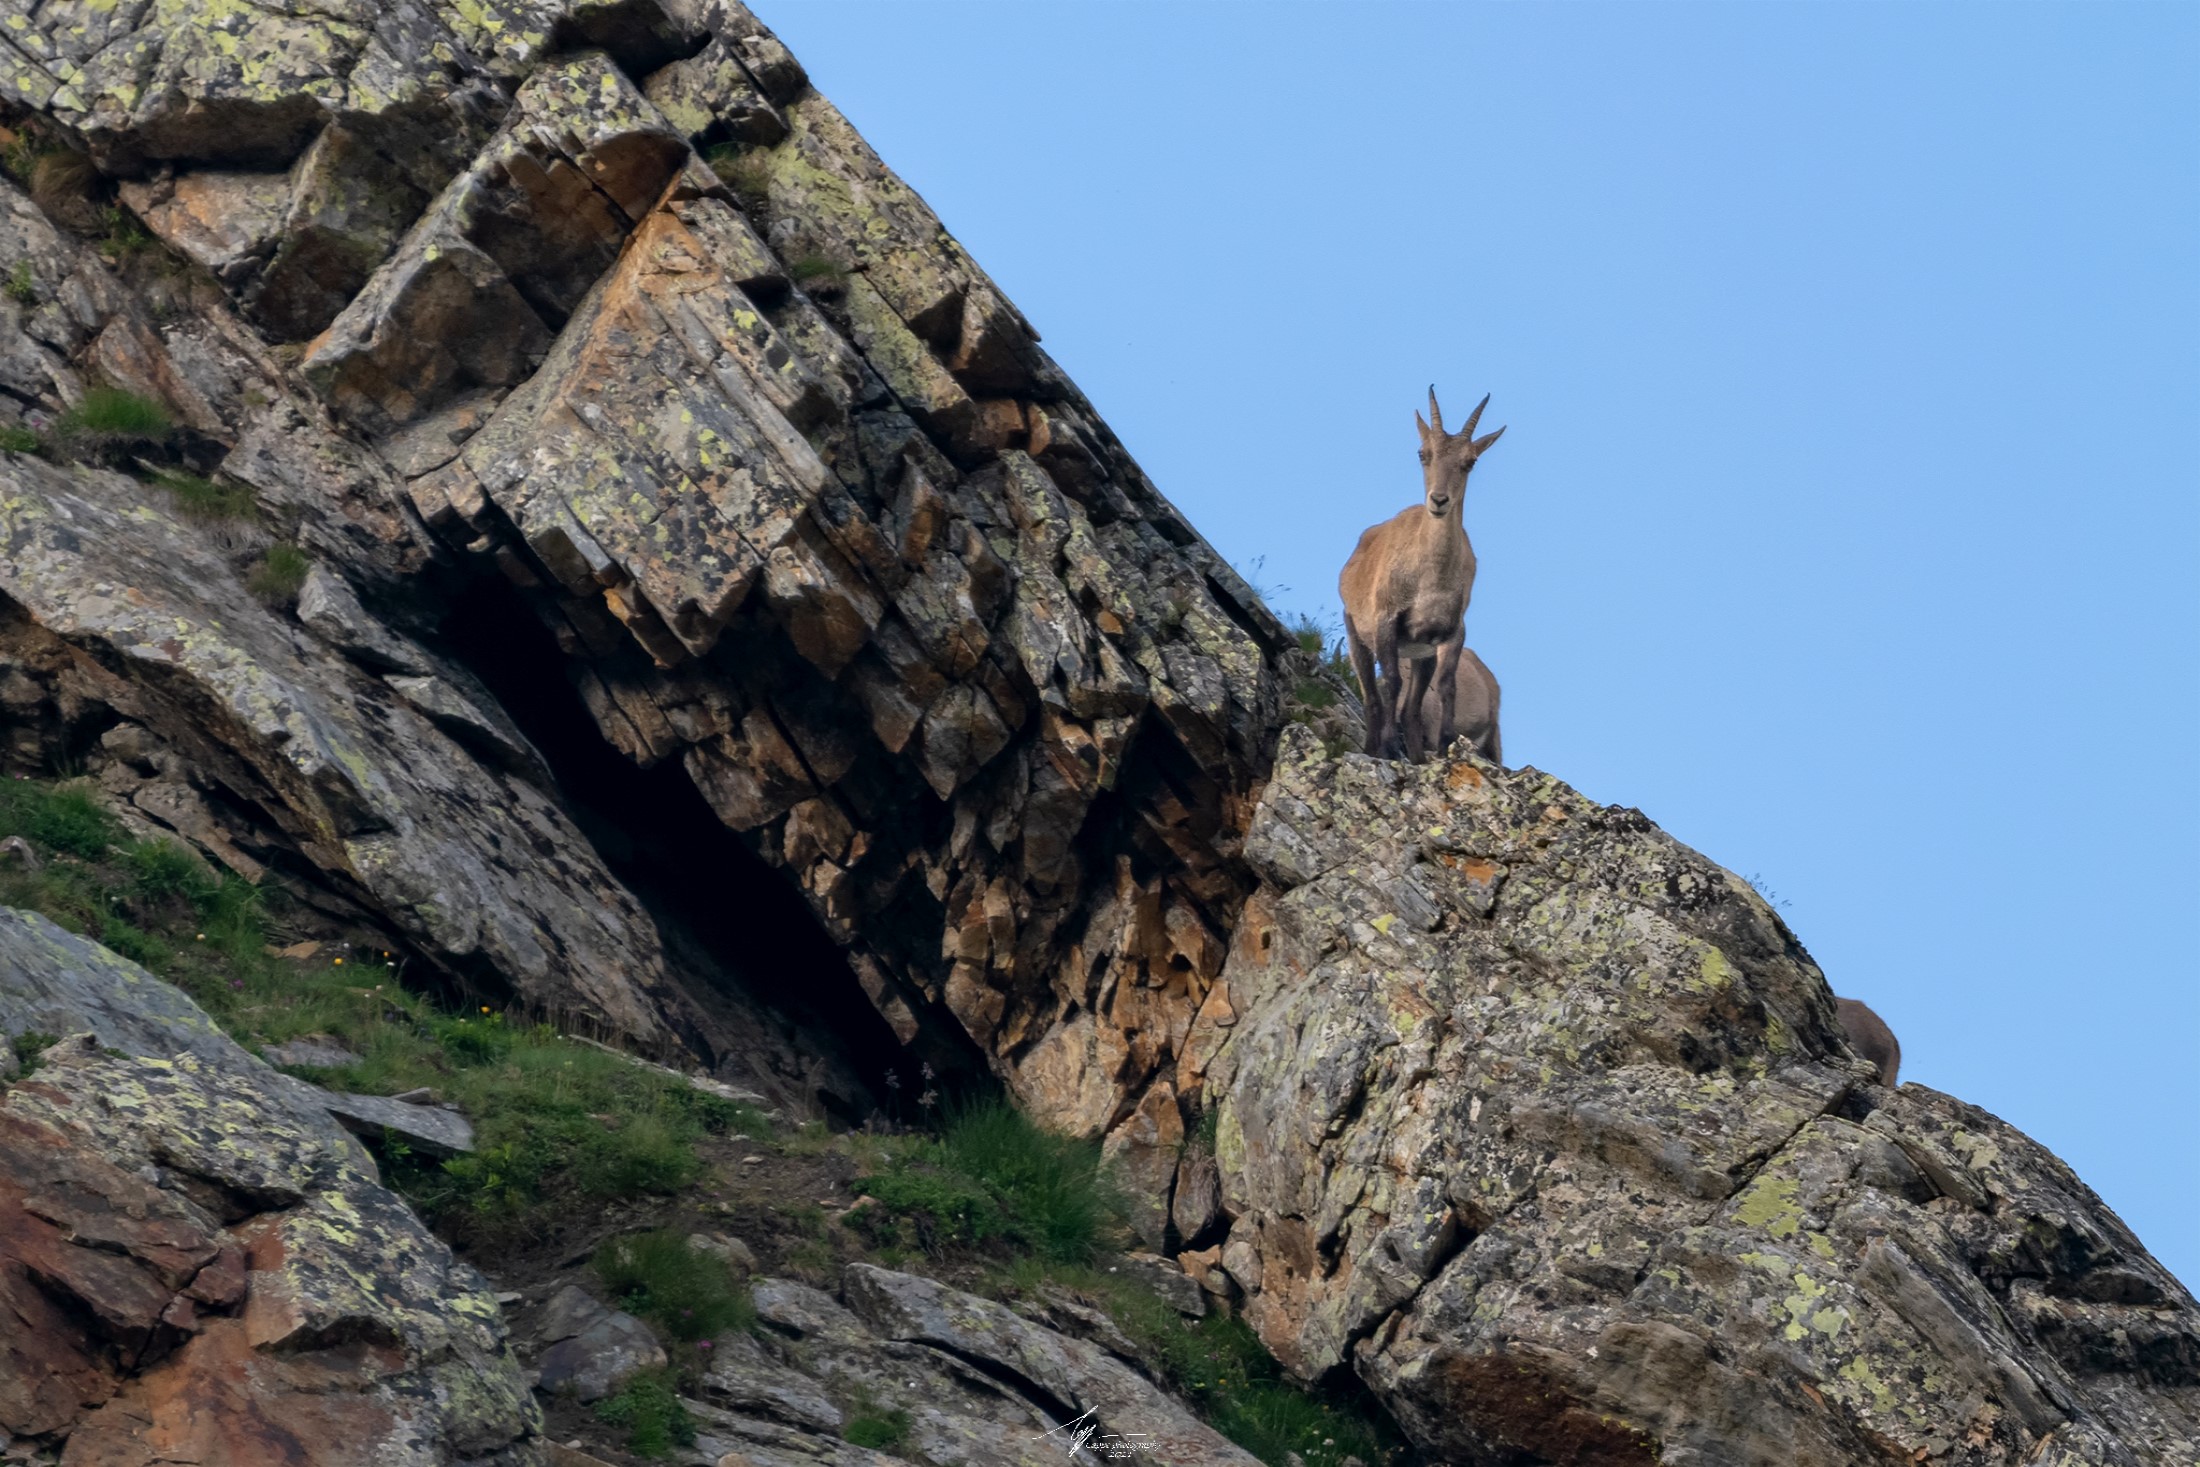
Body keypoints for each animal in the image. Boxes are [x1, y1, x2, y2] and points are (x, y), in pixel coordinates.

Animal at [1339, 387, 1504, 759]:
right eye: (1422, 454)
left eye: (1470, 461)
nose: (1439, 500)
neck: (1430, 581)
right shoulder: (1387, 620)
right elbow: (1391, 683)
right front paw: (1388, 746)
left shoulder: (1448, 633)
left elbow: (1446, 687)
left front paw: (1445, 746)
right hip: (1355, 633)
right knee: (1373, 698)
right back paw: (1374, 748)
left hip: (1421, 656)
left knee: (1411, 709)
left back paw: (1416, 756)